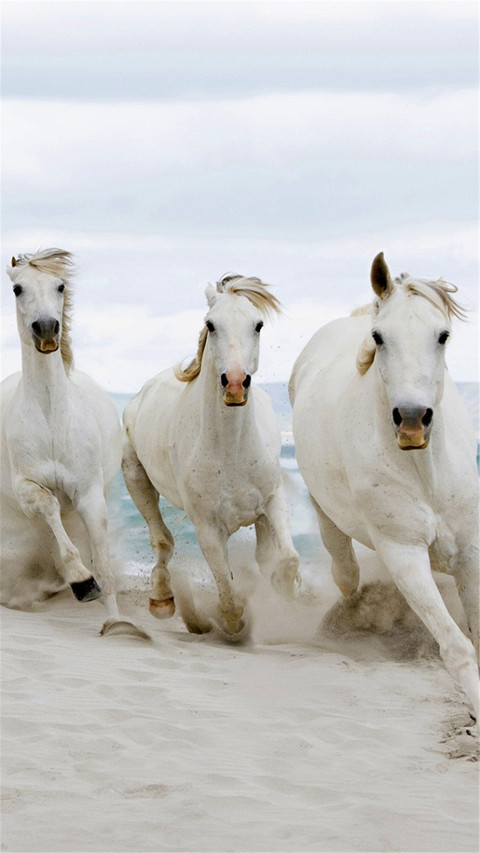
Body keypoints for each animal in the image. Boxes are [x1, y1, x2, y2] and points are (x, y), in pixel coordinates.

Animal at [1, 249, 142, 636]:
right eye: (17, 288)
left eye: (60, 286)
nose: (47, 328)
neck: (51, 419)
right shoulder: (26, 488)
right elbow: (48, 507)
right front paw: (81, 581)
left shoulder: (90, 494)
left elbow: (103, 562)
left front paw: (118, 624)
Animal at [122, 273, 300, 639]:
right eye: (211, 325)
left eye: (258, 324)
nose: (234, 384)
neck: (230, 450)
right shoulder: (207, 527)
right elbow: (228, 595)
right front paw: (232, 622)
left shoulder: (272, 502)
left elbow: (287, 560)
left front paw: (284, 587)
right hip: (135, 478)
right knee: (162, 540)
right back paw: (163, 599)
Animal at [289, 252, 479, 718]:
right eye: (379, 337)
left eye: (443, 335)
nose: (412, 420)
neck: (425, 472)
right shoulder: (404, 554)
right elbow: (457, 647)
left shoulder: (470, 552)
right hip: (329, 520)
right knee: (346, 574)